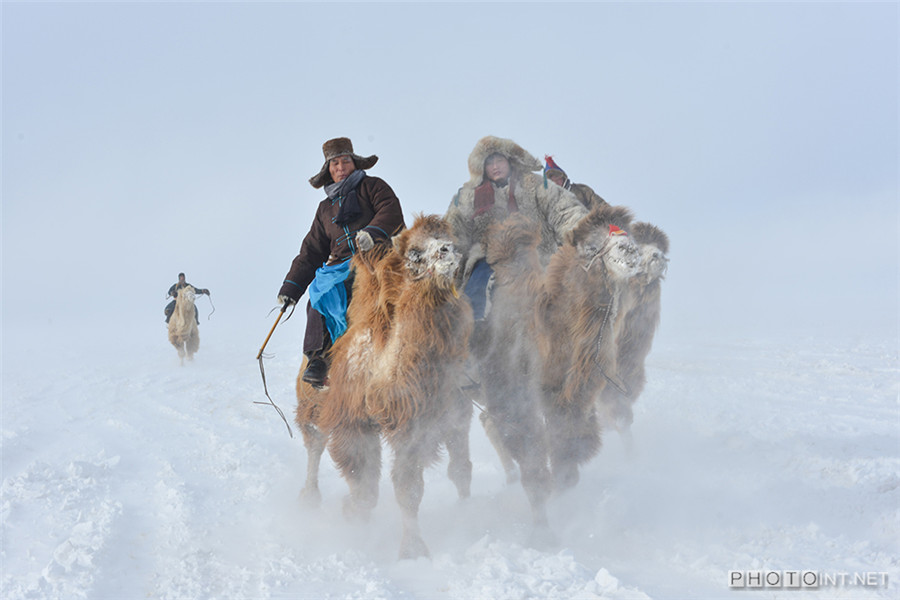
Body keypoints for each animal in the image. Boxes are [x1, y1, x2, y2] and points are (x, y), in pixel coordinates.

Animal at [296, 213, 478, 560]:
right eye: (415, 253)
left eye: (448, 238)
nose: (448, 251)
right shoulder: (355, 420)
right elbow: (373, 484)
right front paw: (358, 516)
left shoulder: (432, 417)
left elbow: (433, 479)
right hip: (313, 399)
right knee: (314, 441)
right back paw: (309, 497)